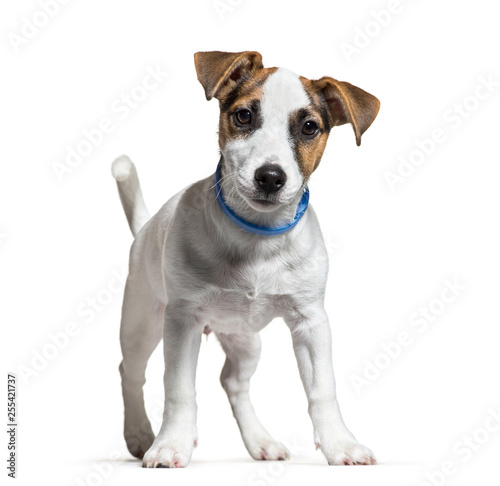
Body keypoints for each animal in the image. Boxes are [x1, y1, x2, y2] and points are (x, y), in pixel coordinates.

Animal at [113, 49, 378, 468]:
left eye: (309, 127)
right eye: (243, 116)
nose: (270, 176)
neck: (257, 235)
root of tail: (146, 227)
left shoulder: (311, 322)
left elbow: (323, 389)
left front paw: (341, 444)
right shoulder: (182, 321)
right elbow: (178, 389)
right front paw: (171, 444)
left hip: (245, 339)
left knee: (233, 381)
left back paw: (260, 441)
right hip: (142, 323)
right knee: (131, 372)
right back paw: (139, 434)